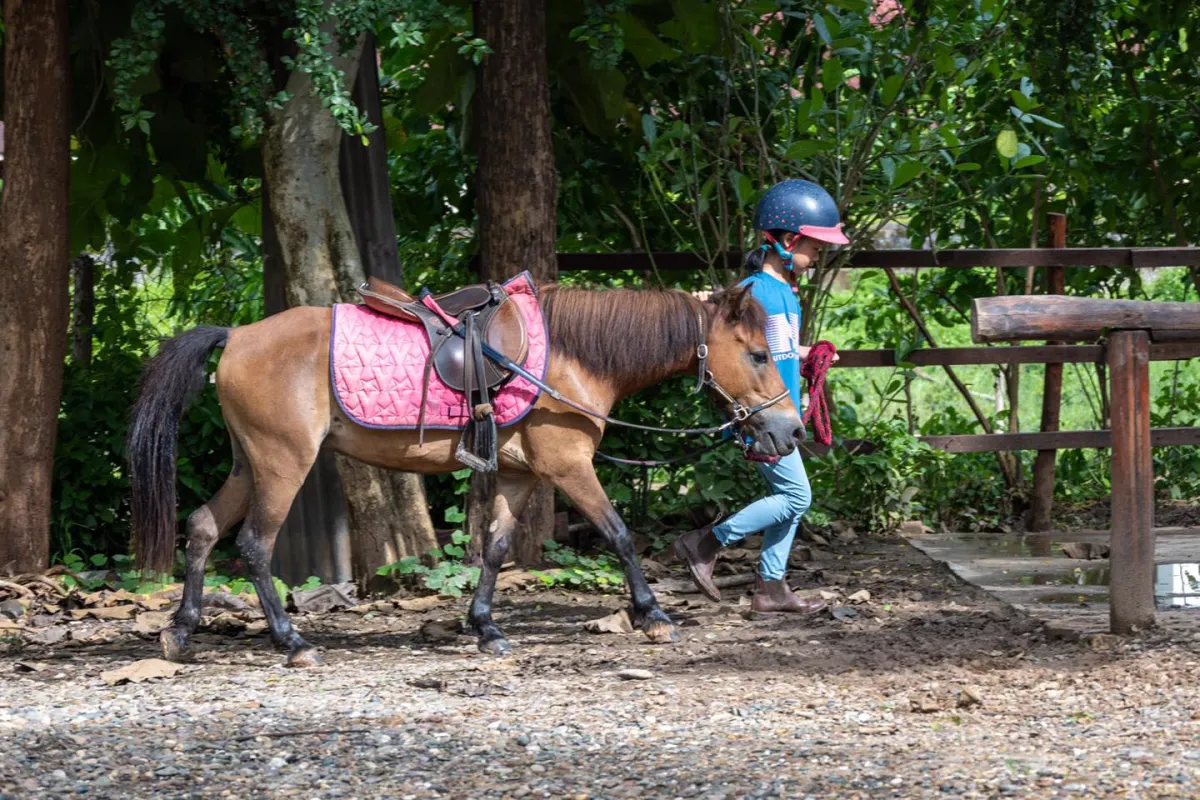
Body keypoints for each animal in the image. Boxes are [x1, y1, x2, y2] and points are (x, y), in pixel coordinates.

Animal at [127, 281, 804, 667]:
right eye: (758, 353)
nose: (791, 431)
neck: (569, 357)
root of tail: (237, 335)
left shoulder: (519, 476)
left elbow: (496, 549)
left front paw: (485, 628)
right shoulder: (569, 466)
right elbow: (617, 534)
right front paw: (652, 615)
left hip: (251, 463)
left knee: (203, 525)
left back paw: (181, 631)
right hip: (281, 464)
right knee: (253, 544)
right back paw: (292, 642)